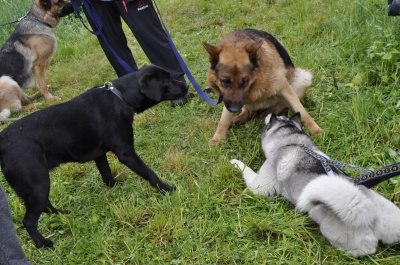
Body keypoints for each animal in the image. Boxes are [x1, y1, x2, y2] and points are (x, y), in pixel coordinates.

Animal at [0, 65, 189, 246]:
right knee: (29, 221)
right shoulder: (126, 153)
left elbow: (106, 173)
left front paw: (114, 186)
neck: (120, 97)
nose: (186, 85)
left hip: (38, 184)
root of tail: (3, 143)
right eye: (167, 81)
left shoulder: (100, 154)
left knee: (45, 206)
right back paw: (42, 243)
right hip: (38, 184)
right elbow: (150, 173)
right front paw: (167, 189)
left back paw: (61, 214)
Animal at [230, 112, 400, 255]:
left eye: (267, 124)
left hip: (322, 218)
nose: (267, 114)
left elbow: (245, 168)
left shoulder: (259, 186)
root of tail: (370, 214)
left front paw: (234, 162)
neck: (290, 142)